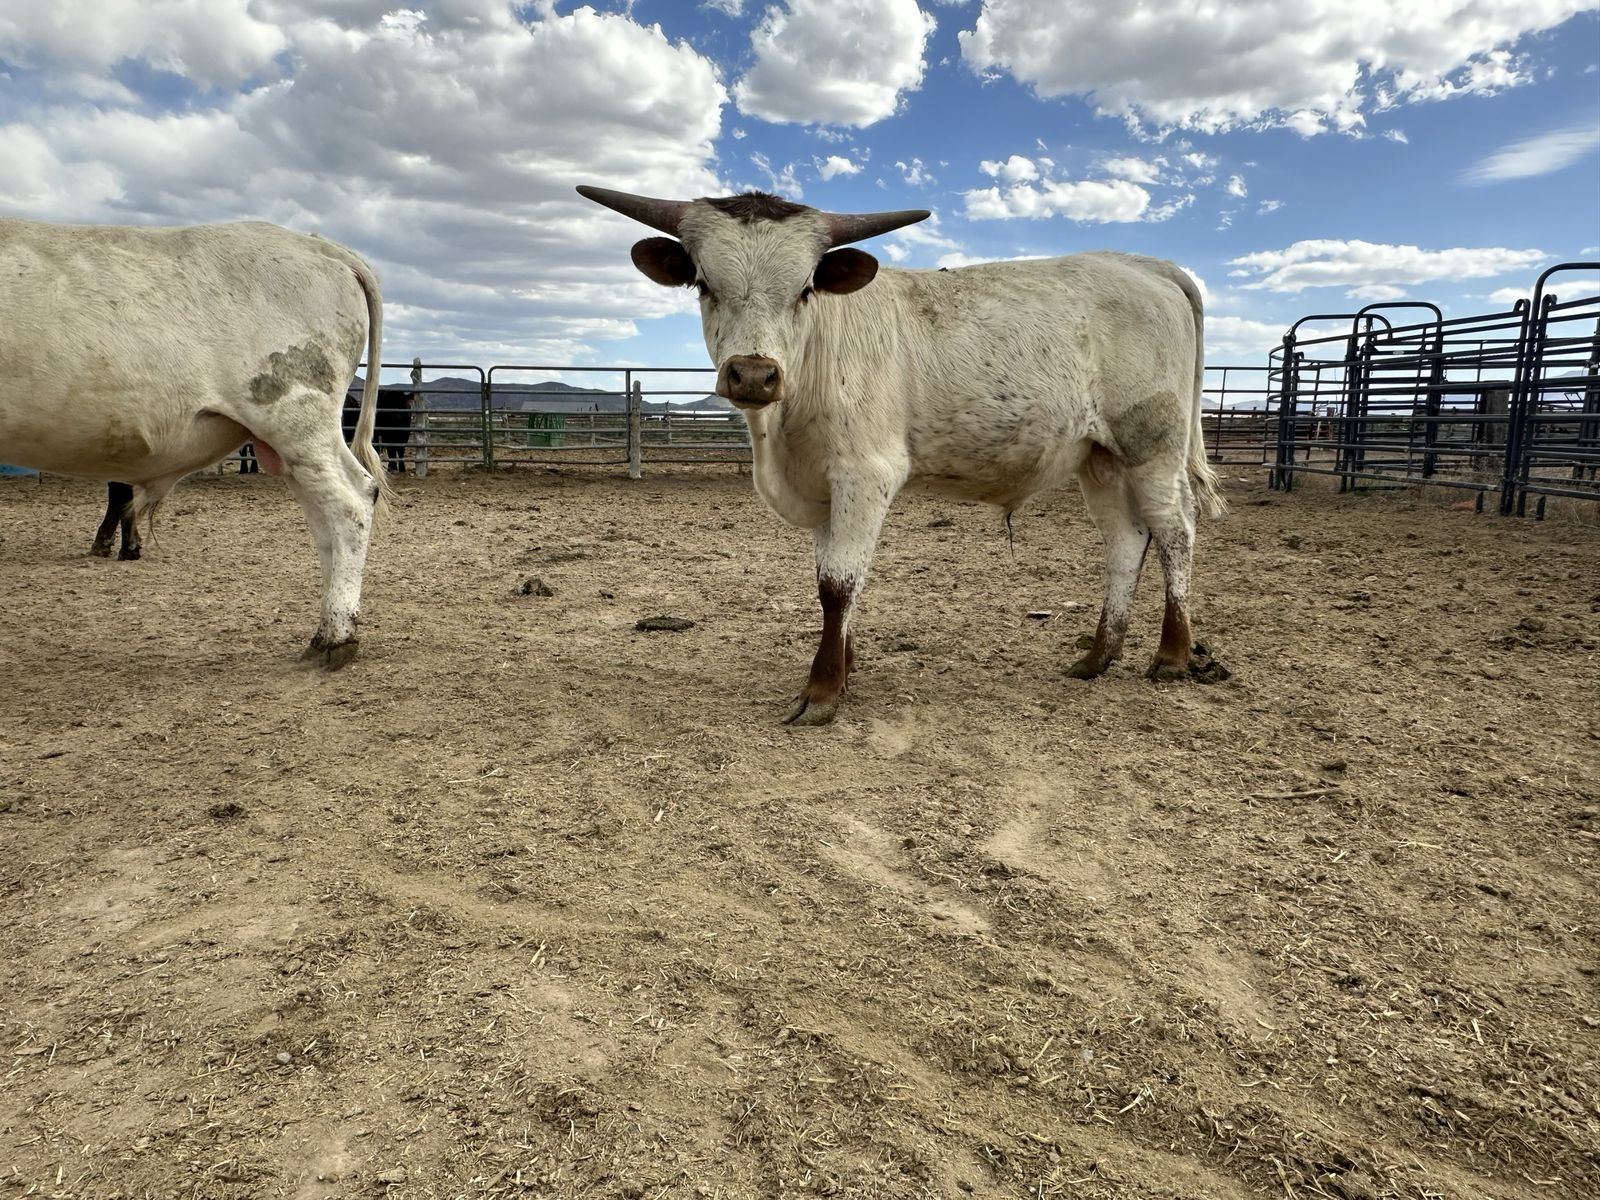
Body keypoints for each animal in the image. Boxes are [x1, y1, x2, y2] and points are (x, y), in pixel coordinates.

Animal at [0, 218, 390, 667]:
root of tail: (321, 246)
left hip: (296, 414)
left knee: (349, 503)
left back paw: (336, 636)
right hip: (288, 443)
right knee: (324, 519)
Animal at [579, 185, 1226, 724]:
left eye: (805, 288)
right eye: (703, 284)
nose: (754, 375)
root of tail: (1144, 265)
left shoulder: (865, 475)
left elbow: (838, 584)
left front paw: (821, 691)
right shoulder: (824, 486)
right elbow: (833, 577)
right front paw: (845, 669)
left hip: (1152, 445)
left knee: (1175, 531)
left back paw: (1172, 656)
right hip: (1100, 458)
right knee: (1124, 543)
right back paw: (1097, 656)